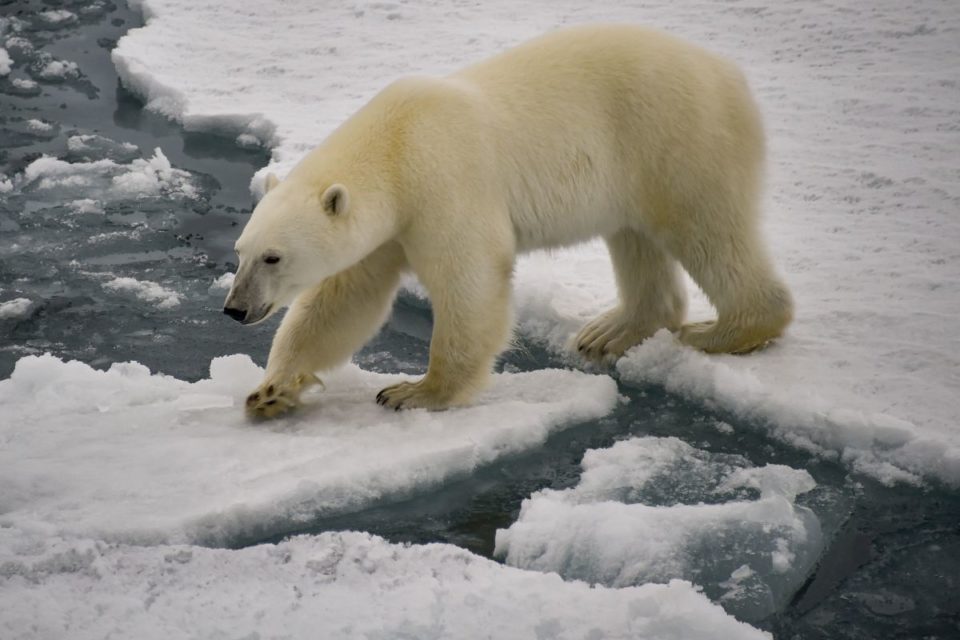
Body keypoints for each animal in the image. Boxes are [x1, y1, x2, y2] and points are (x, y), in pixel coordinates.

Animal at [221, 22, 792, 418]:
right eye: (241, 253)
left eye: (273, 257)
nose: (234, 309)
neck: (396, 144)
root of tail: (730, 73)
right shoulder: (389, 226)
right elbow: (343, 300)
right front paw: (270, 390)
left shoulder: (444, 185)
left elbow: (470, 281)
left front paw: (414, 391)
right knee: (636, 240)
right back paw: (609, 332)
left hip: (676, 137)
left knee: (708, 229)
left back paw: (721, 331)